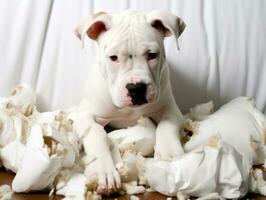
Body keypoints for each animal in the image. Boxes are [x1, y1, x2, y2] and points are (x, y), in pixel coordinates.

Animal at [74, 10, 186, 195]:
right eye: (113, 58)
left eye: (152, 55)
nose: (136, 88)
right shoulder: (84, 116)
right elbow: (96, 135)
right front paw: (103, 171)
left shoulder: (170, 107)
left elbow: (167, 124)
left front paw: (169, 153)